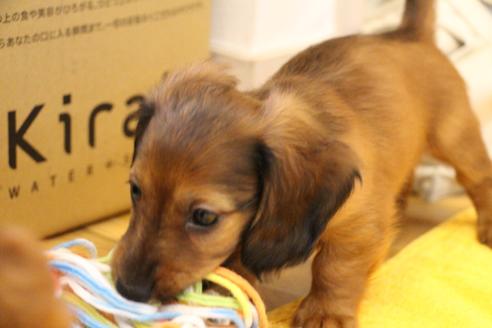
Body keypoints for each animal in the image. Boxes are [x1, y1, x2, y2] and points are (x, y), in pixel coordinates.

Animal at [111, 0, 492, 326]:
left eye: (204, 217)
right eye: (135, 191)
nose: (128, 289)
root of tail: (409, 35)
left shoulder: (356, 227)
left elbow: (334, 268)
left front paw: (326, 312)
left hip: (454, 138)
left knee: (479, 178)